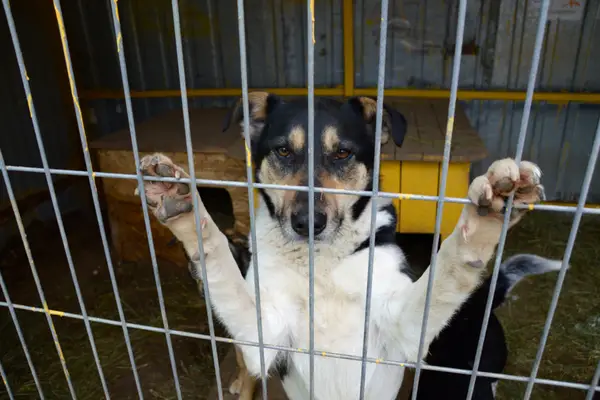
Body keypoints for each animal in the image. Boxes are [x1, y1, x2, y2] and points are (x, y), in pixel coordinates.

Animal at [138, 92, 548, 398]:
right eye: (283, 151)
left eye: (342, 153)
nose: (307, 224)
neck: (322, 262)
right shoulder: (262, 338)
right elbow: (219, 259)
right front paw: (182, 205)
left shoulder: (404, 326)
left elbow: (448, 265)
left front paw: (486, 216)